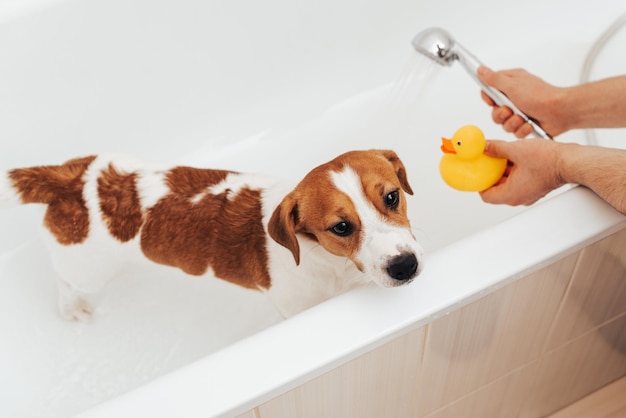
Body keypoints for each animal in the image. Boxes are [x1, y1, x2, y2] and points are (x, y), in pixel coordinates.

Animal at [0, 150, 422, 320]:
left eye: (392, 196)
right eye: (341, 227)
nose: (405, 266)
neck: (328, 262)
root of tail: (69, 177)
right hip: (86, 268)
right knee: (66, 282)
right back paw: (73, 308)